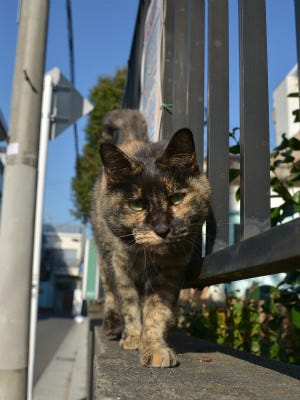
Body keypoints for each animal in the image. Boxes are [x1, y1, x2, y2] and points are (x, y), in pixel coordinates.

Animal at [90, 110, 210, 368]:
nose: (162, 229)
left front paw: (155, 348)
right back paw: (112, 326)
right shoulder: (121, 265)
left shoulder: (170, 269)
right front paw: (134, 338)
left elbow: (156, 310)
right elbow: (129, 303)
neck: (147, 256)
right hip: (104, 255)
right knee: (110, 291)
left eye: (176, 198)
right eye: (137, 205)